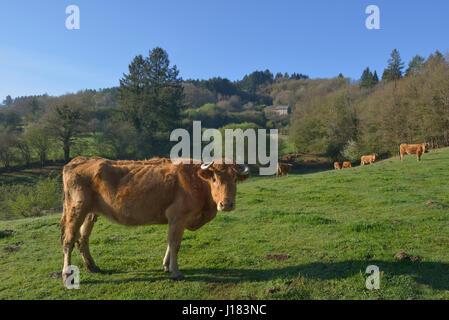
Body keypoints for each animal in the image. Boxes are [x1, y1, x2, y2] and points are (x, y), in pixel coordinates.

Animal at [59, 156, 248, 284]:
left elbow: (170, 242)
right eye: (214, 178)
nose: (226, 204)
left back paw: (92, 266)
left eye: (235, 179)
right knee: (69, 240)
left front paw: (166, 266)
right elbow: (175, 244)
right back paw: (67, 274)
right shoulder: (178, 216)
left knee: (82, 238)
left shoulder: (176, 220)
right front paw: (176, 272)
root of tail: (79, 160)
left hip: (90, 213)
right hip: (76, 210)